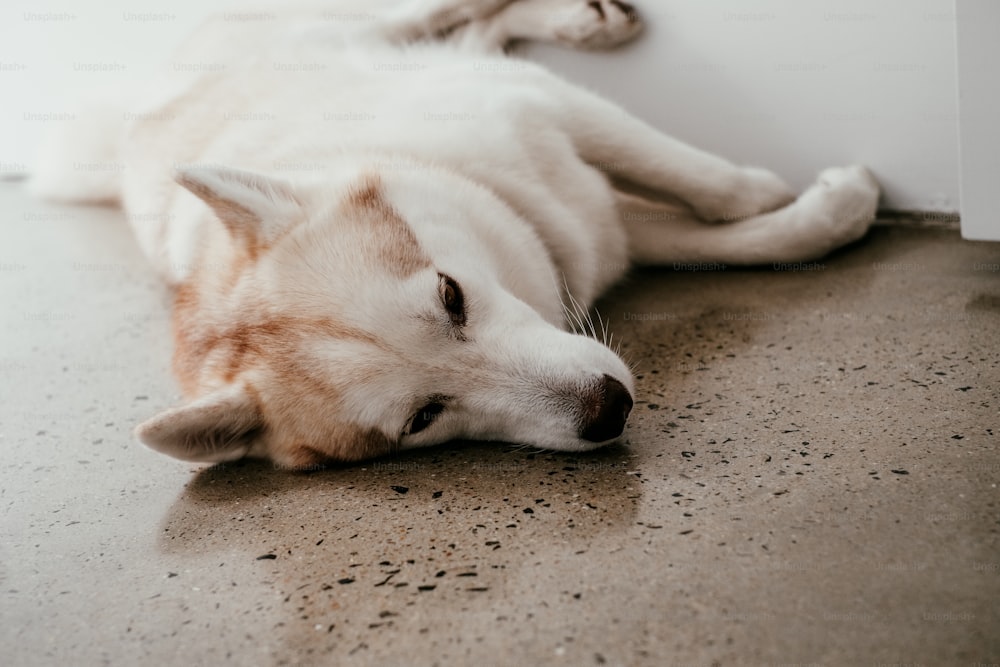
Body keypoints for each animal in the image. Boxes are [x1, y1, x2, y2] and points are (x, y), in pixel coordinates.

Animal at [29, 0, 884, 470]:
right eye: (422, 418)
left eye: (450, 295)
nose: (607, 409)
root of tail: (140, 100)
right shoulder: (596, 223)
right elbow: (727, 236)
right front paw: (820, 214)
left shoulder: (546, 106)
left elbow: (700, 180)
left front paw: (774, 191)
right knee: (465, 29)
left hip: (354, 25)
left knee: (434, 9)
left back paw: (581, 23)